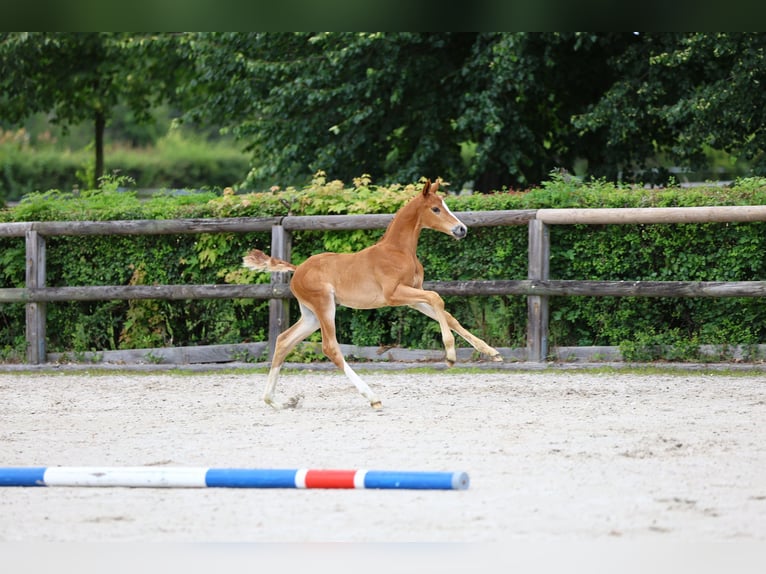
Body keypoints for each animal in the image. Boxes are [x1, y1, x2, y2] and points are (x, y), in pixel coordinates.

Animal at [242, 180, 504, 410]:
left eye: (445, 205)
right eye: (436, 208)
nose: (462, 229)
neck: (398, 251)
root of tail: (297, 270)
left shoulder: (413, 297)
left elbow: (446, 314)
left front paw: (491, 352)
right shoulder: (394, 295)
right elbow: (436, 298)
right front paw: (450, 355)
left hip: (311, 315)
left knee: (283, 340)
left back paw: (277, 402)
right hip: (324, 306)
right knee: (330, 347)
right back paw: (372, 398)